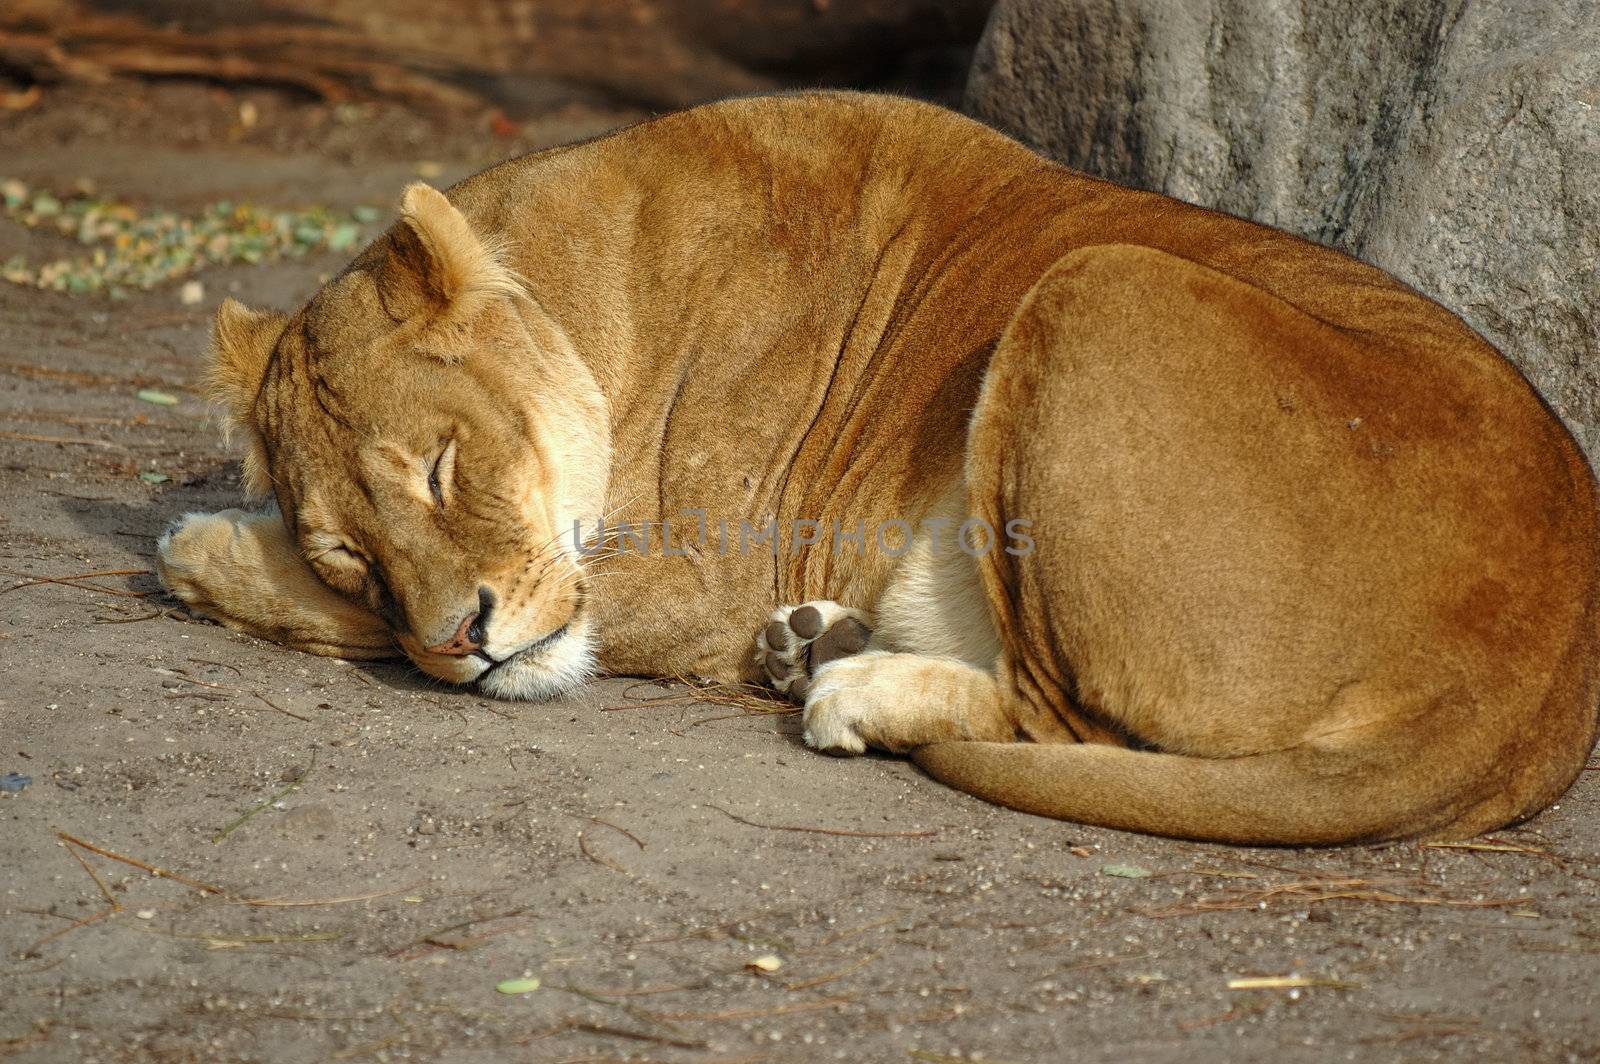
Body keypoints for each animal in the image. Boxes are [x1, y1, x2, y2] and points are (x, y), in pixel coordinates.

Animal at [159, 91, 1600, 844]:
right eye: (356, 548)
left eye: (446, 471)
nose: (465, 640)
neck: (591, 289)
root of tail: (1536, 681)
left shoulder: (702, 570)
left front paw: (202, 551)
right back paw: (819, 645)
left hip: (1095, 283)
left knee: (1062, 720)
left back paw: (848, 686)